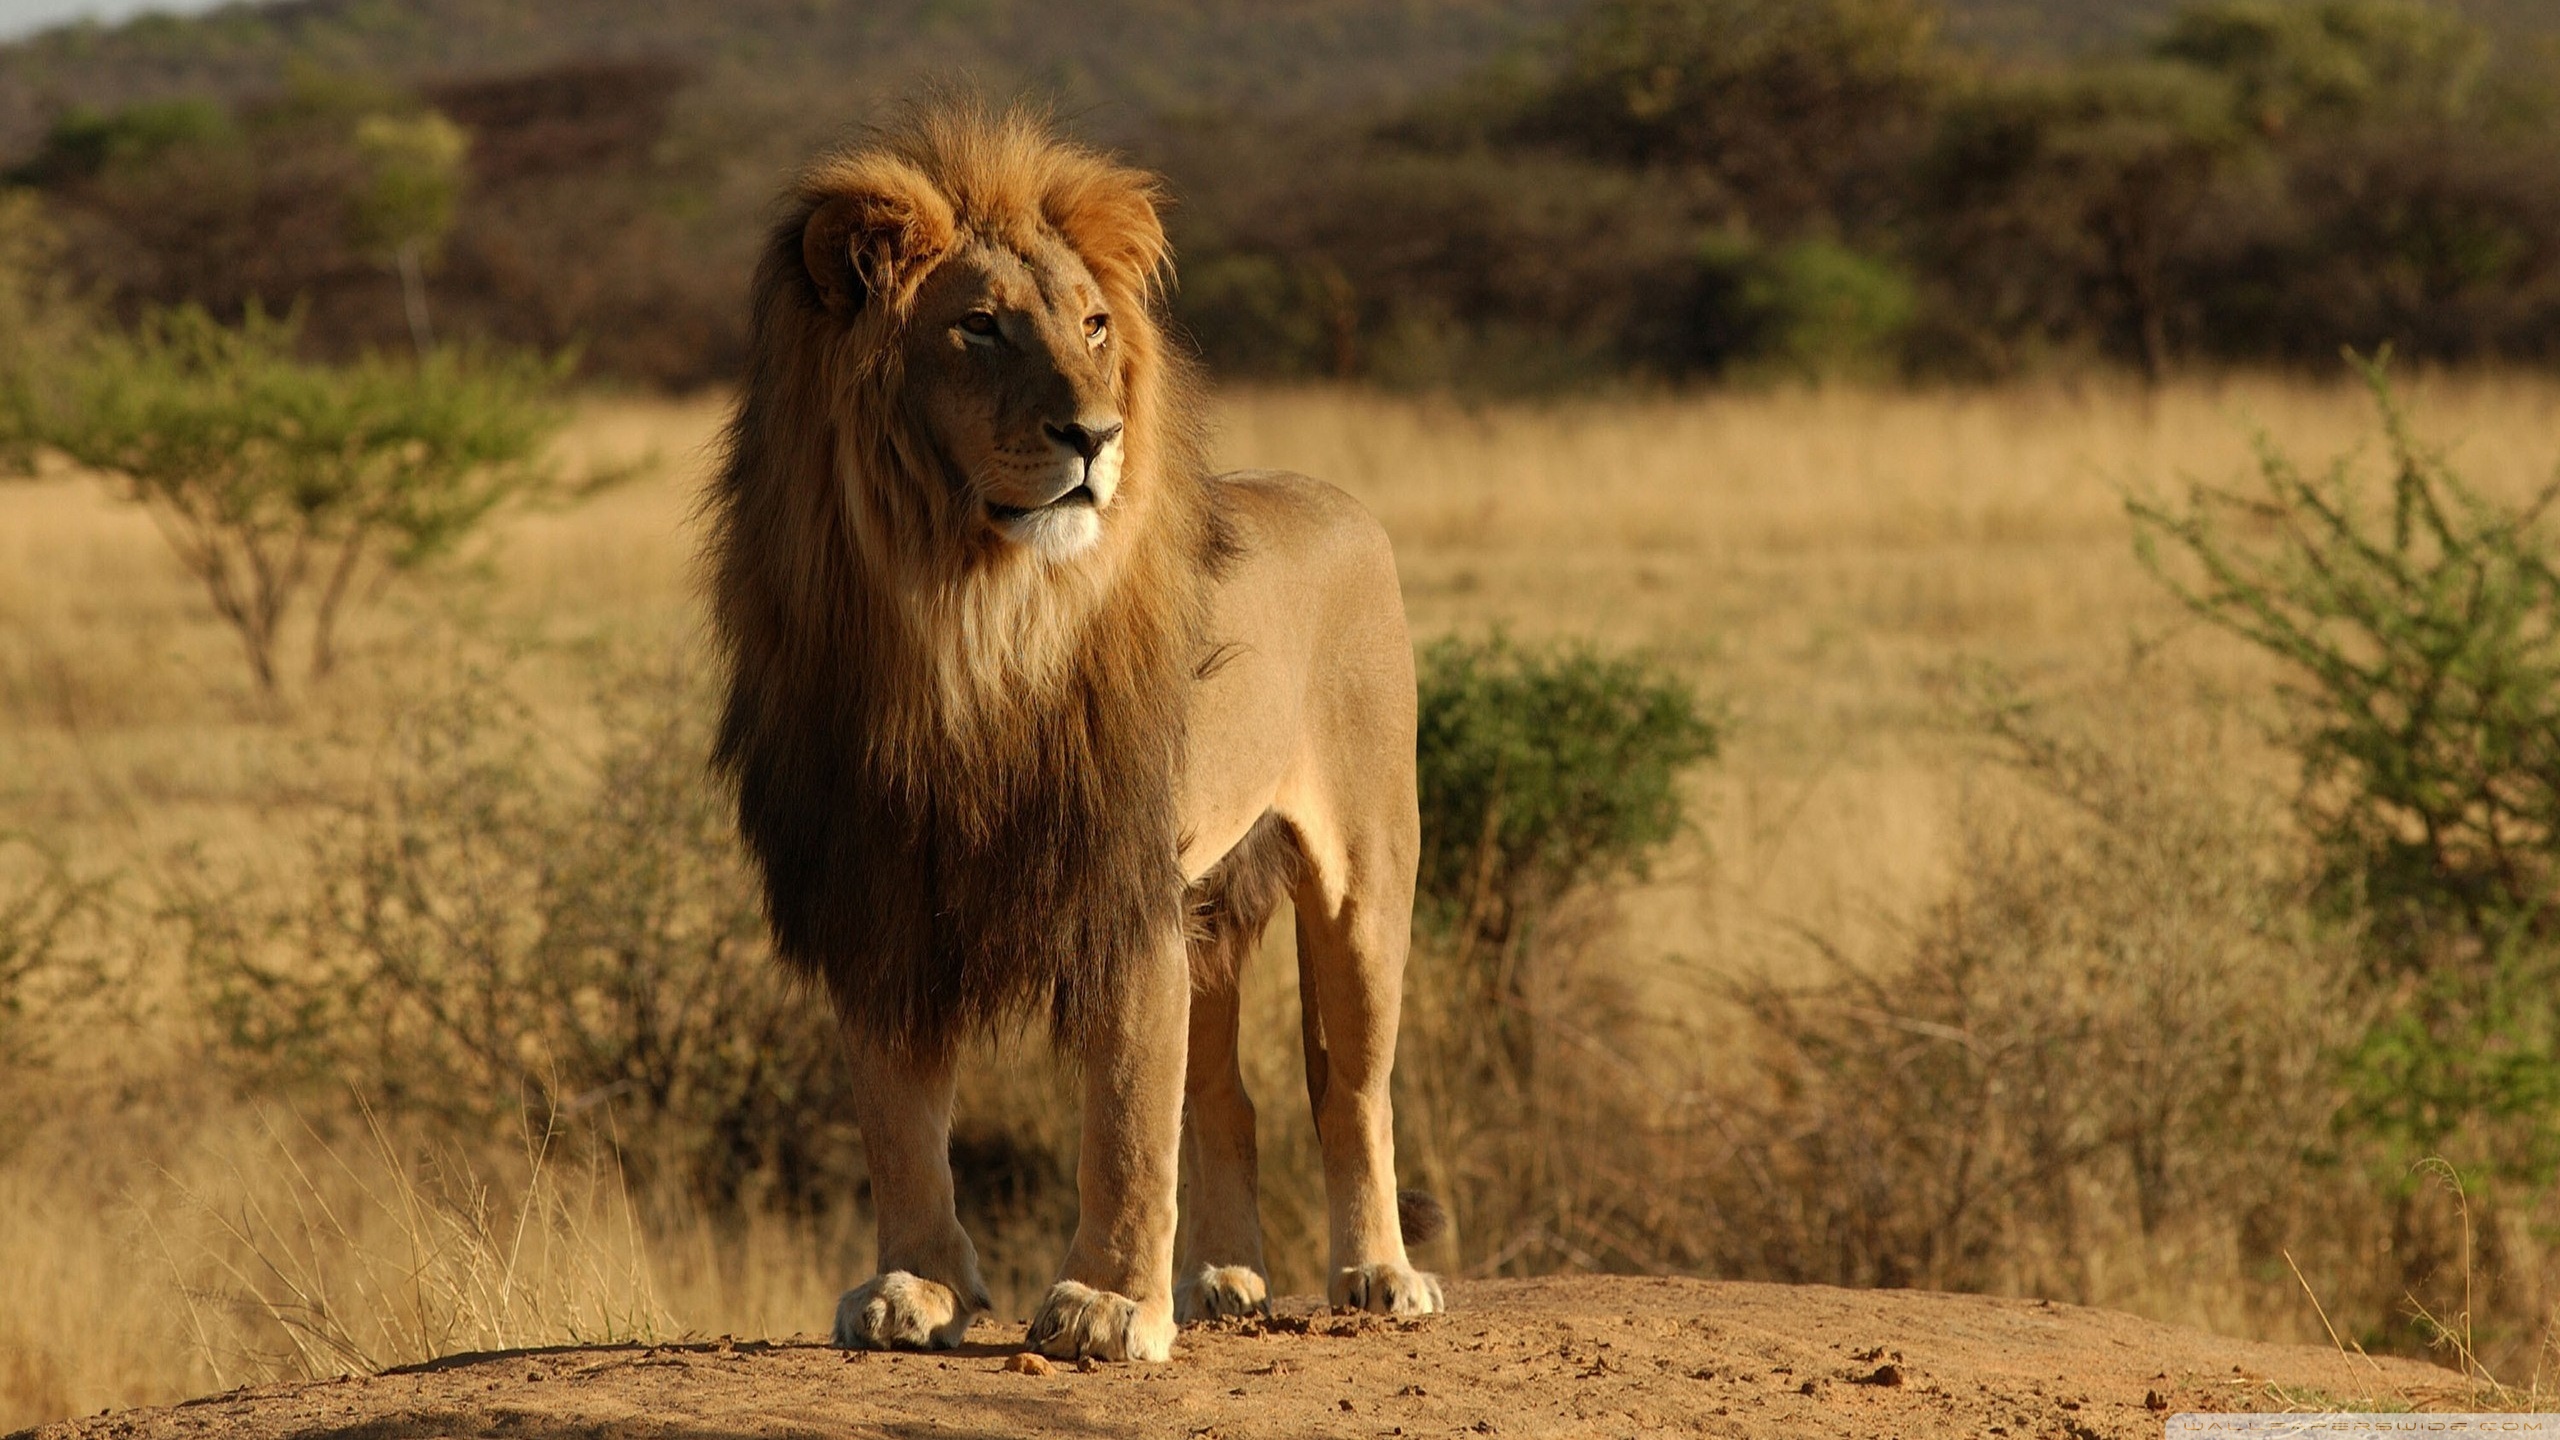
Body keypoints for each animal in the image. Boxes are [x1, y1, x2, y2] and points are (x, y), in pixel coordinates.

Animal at [706, 106, 1443, 1363]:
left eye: (1094, 326)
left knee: (1350, 1089)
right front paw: (915, 1287)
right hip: (1211, 905)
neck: (966, 616)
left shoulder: (1118, 883)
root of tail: (1338, 500)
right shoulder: (878, 886)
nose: (1094, 434)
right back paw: (1222, 1279)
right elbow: (898, 1117)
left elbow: (1125, 1117)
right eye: (980, 327)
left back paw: (1378, 1274)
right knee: (1228, 1095)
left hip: (1364, 876)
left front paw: (1106, 1305)